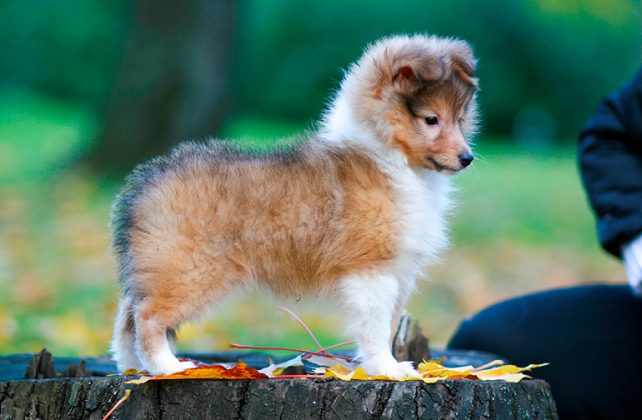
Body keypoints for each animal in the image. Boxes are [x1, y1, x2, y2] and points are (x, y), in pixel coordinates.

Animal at [110, 33, 476, 378]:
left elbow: (388, 325)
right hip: (191, 271)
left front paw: (386, 367)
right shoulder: (372, 269)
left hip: (160, 268)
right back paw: (167, 367)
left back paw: (131, 368)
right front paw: (387, 369)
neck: (390, 158)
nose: (467, 158)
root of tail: (144, 185)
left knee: (127, 316)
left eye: (460, 119)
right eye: (430, 119)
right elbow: (374, 328)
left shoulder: (398, 273)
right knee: (148, 317)